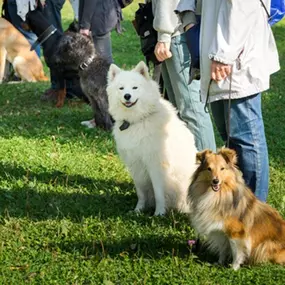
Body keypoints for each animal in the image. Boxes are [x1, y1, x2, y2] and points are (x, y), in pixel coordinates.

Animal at [105, 61, 196, 214]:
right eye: (121, 88)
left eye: (135, 87)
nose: (127, 96)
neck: (137, 120)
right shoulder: (135, 164)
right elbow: (140, 192)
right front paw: (138, 210)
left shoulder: (156, 164)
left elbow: (159, 192)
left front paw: (159, 213)